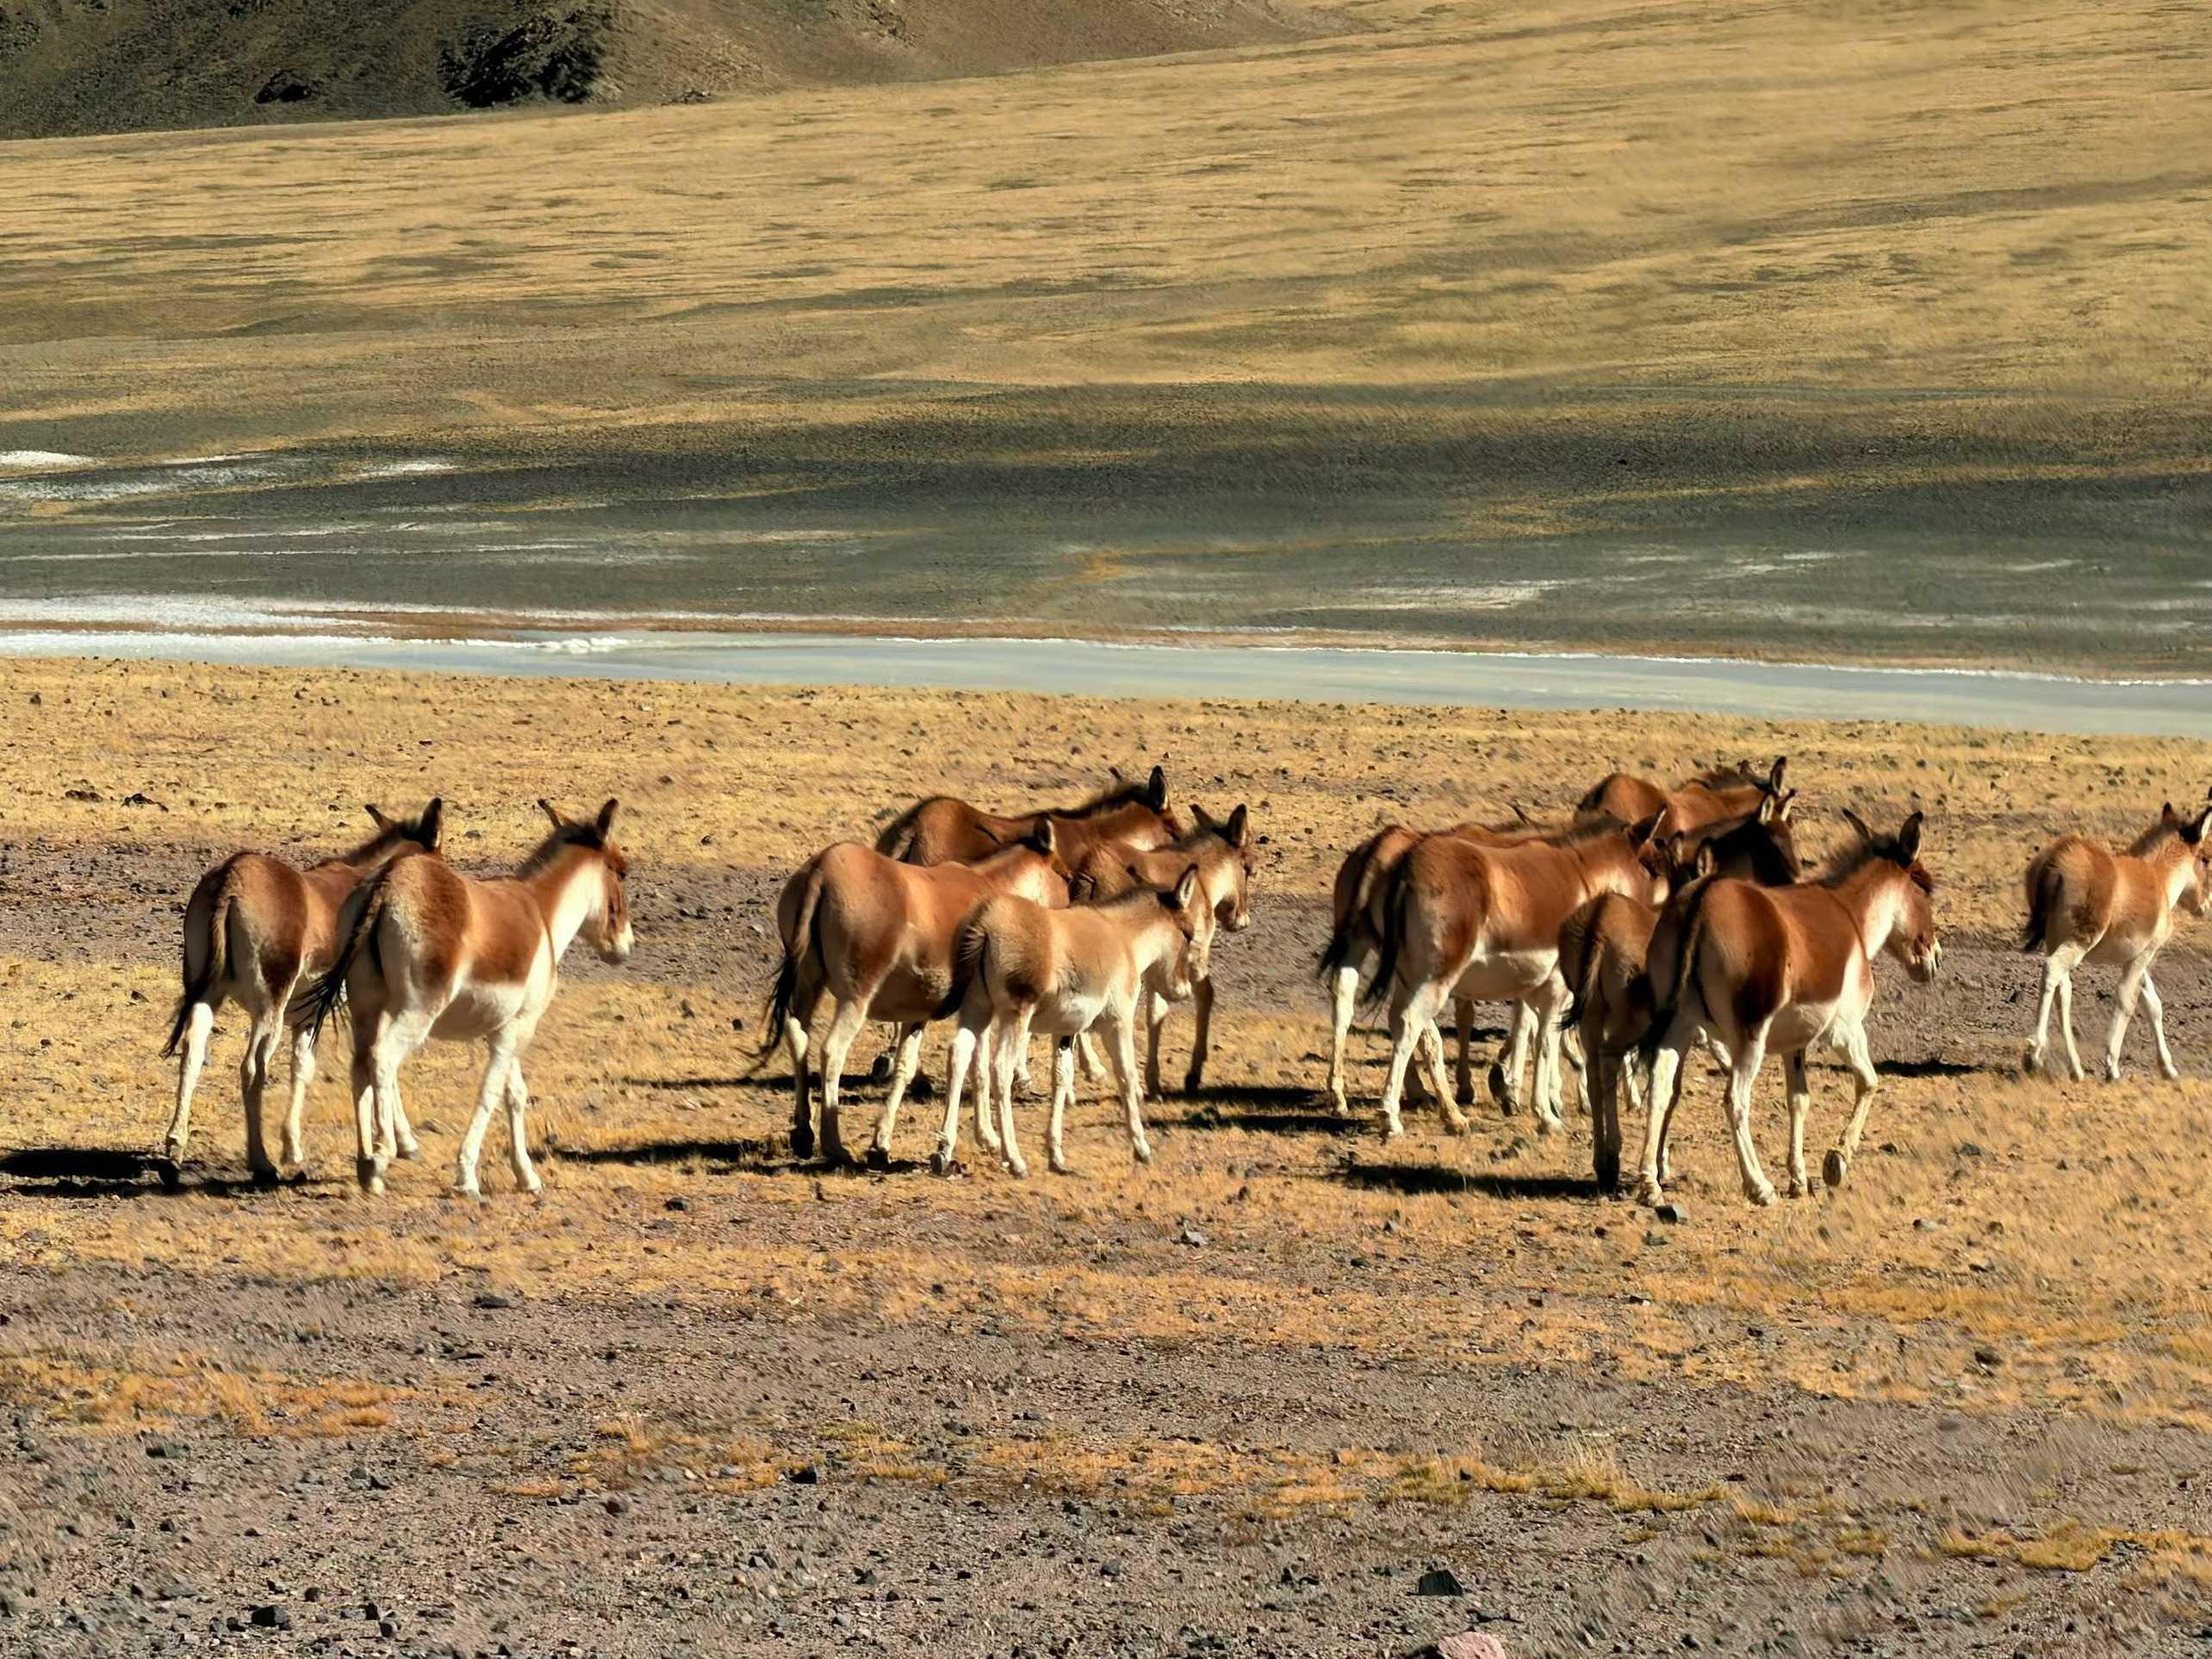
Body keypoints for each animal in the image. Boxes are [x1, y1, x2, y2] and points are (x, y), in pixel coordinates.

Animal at [161, 800, 445, 1180]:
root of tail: (233, 877)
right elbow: (382, 1063)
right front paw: (405, 1144)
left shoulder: (306, 1013)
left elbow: (302, 1067)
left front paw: (293, 1148)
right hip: (269, 1007)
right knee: (252, 1068)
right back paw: (260, 1161)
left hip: (207, 995)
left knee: (191, 1054)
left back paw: (174, 1153)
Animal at [303, 800, 632, 1197]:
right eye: (622, 872)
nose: (625, 945)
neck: (541, 911)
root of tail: (387, 883)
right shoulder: (519, 1027)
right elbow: (489, 1092)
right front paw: (467, 1175)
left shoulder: (505, 1028)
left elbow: (515, 1094)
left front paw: (527, 1177)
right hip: (417, 1012)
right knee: (382, 1059)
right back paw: (382, 1156)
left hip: (366, 1007)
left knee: (359, 1065)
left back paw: (367, 1166)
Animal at [1637, 809, 1939, 1208]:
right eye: (1926, 888)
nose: (1934, 960)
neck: (1851, 916)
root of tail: (1702, 901)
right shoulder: (1844, 1030)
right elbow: (1869, 1082)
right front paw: (1835, 1163)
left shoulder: (1796, 1043)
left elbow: (1799, 1100)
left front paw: (1799, 1179)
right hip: (1749, 1038)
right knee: (1735, 1099)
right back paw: (1759, 1187)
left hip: (1678, 1027)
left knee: (1660, 1089)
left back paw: (1650, 1184)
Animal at [2022, 794, 2212, 1080]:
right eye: (2207, 858)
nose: (2206, 907)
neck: (2159, 878)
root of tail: (2058, 858)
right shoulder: (2145, 954)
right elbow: (2126, 1001)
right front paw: (2112, 1066)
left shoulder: (2135, 959)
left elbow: (2153, 1005)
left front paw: (2168, 1068)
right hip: (2080, 941)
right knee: (2052, 969)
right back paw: (2034, 1053)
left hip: (2056, 940)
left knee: (2062, 991)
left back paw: (2075, 1068)